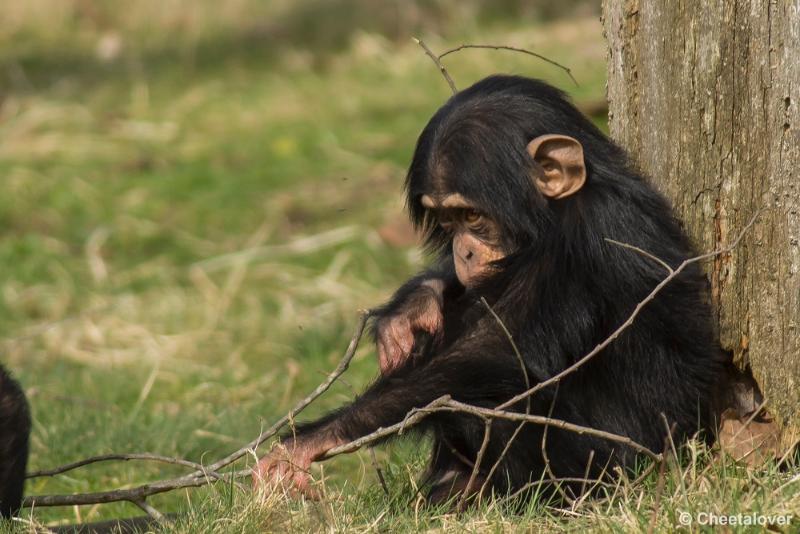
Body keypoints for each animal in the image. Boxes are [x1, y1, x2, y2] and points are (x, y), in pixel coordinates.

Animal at [252, 75, 724, 506]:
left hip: (622, 462)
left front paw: (311, 440)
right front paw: (409, 311)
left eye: (473, 215)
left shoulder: (593, 236)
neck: (554, 217)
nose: (463, 251)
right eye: (448, 220)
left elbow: (498, 350)